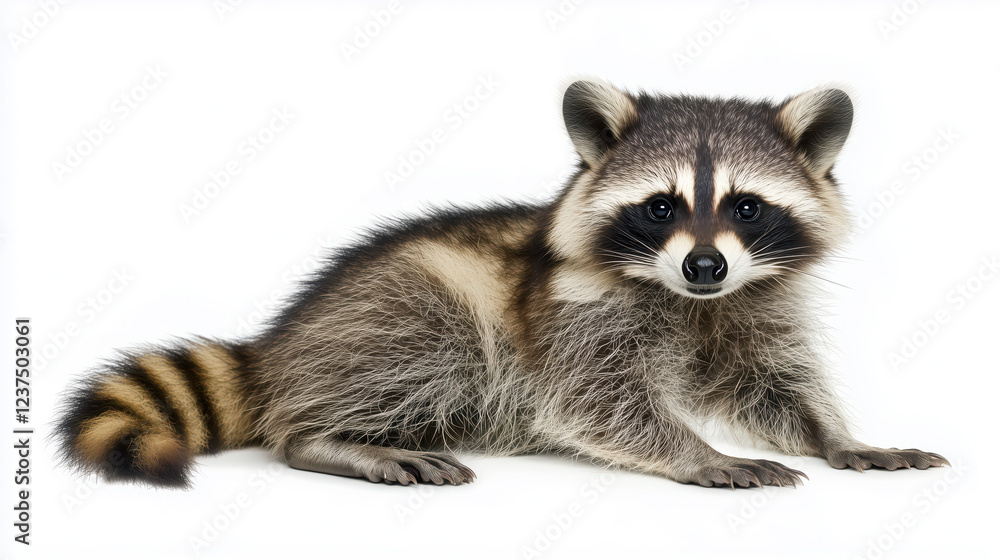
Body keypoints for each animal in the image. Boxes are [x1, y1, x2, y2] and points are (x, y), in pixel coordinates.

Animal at [56, 80, 948, 488]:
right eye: (660, 207)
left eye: (747, 206)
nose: (705, 266)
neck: (692, 300)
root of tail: (282, 346)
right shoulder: (575, 316)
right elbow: (597, 401)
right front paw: (700, 453)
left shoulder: (755, 303)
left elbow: (773, 385)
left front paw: (840, 436)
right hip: (400, 310)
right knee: (425, 347)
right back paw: (327, 436)